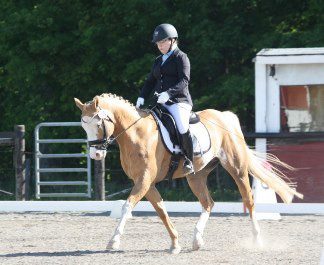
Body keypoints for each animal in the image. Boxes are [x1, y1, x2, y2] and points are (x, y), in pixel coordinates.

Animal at [74, 93, 302, 254]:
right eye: (83, 127)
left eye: (98, 123)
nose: (95, 154)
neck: (136, 133)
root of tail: (225, 116)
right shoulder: (148, 183)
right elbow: (162, 211)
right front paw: (175, 244)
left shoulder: (144, 180)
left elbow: (127, 207)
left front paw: (113, 241)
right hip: (196, 176)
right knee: (208, 203)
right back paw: (197, 240)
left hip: (236, 169)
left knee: (249, 200)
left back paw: (256, 239)